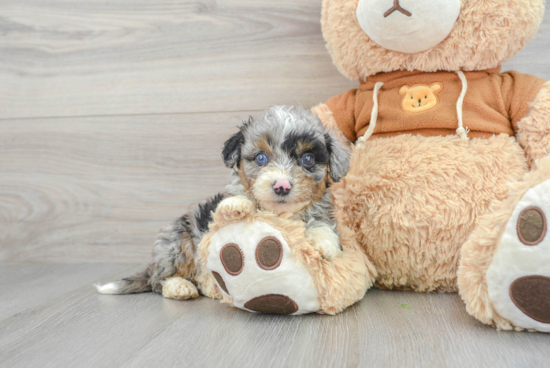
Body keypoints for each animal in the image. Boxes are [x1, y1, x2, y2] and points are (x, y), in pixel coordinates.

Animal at [97, 104, 352, 300]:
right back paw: (180, 286)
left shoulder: (322, 211)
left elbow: (322, 223)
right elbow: (235, 199)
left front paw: (324, 243)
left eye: (307, 159)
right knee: (158, 280)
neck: (278, 214)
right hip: (177, 244)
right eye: (261, 158)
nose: (282, 186)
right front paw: (237, 204)